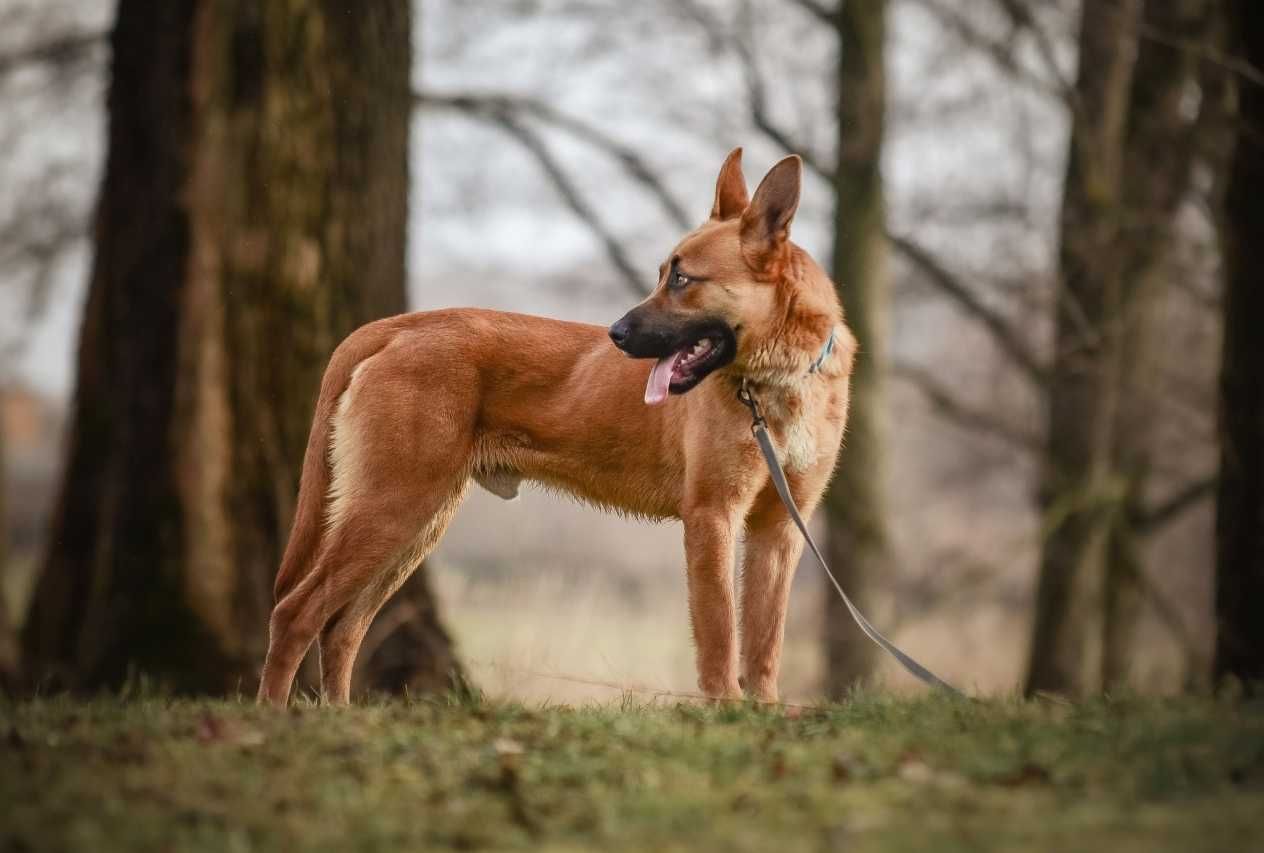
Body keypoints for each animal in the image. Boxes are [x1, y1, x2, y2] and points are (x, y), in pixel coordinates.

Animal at [257, 148, 854, 707]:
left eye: (683, 279)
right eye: (664, 273)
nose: (616, 333)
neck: (778, 380)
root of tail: (396, 327)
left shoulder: (778, 531)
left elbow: (763, 641)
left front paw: (763, 711)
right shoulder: (712, 517)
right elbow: (720, 635)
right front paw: (724, 711)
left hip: (414, 522)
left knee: (342, 626)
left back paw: (339, 713)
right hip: (393, 506)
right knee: (296, 612)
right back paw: (276, 716)